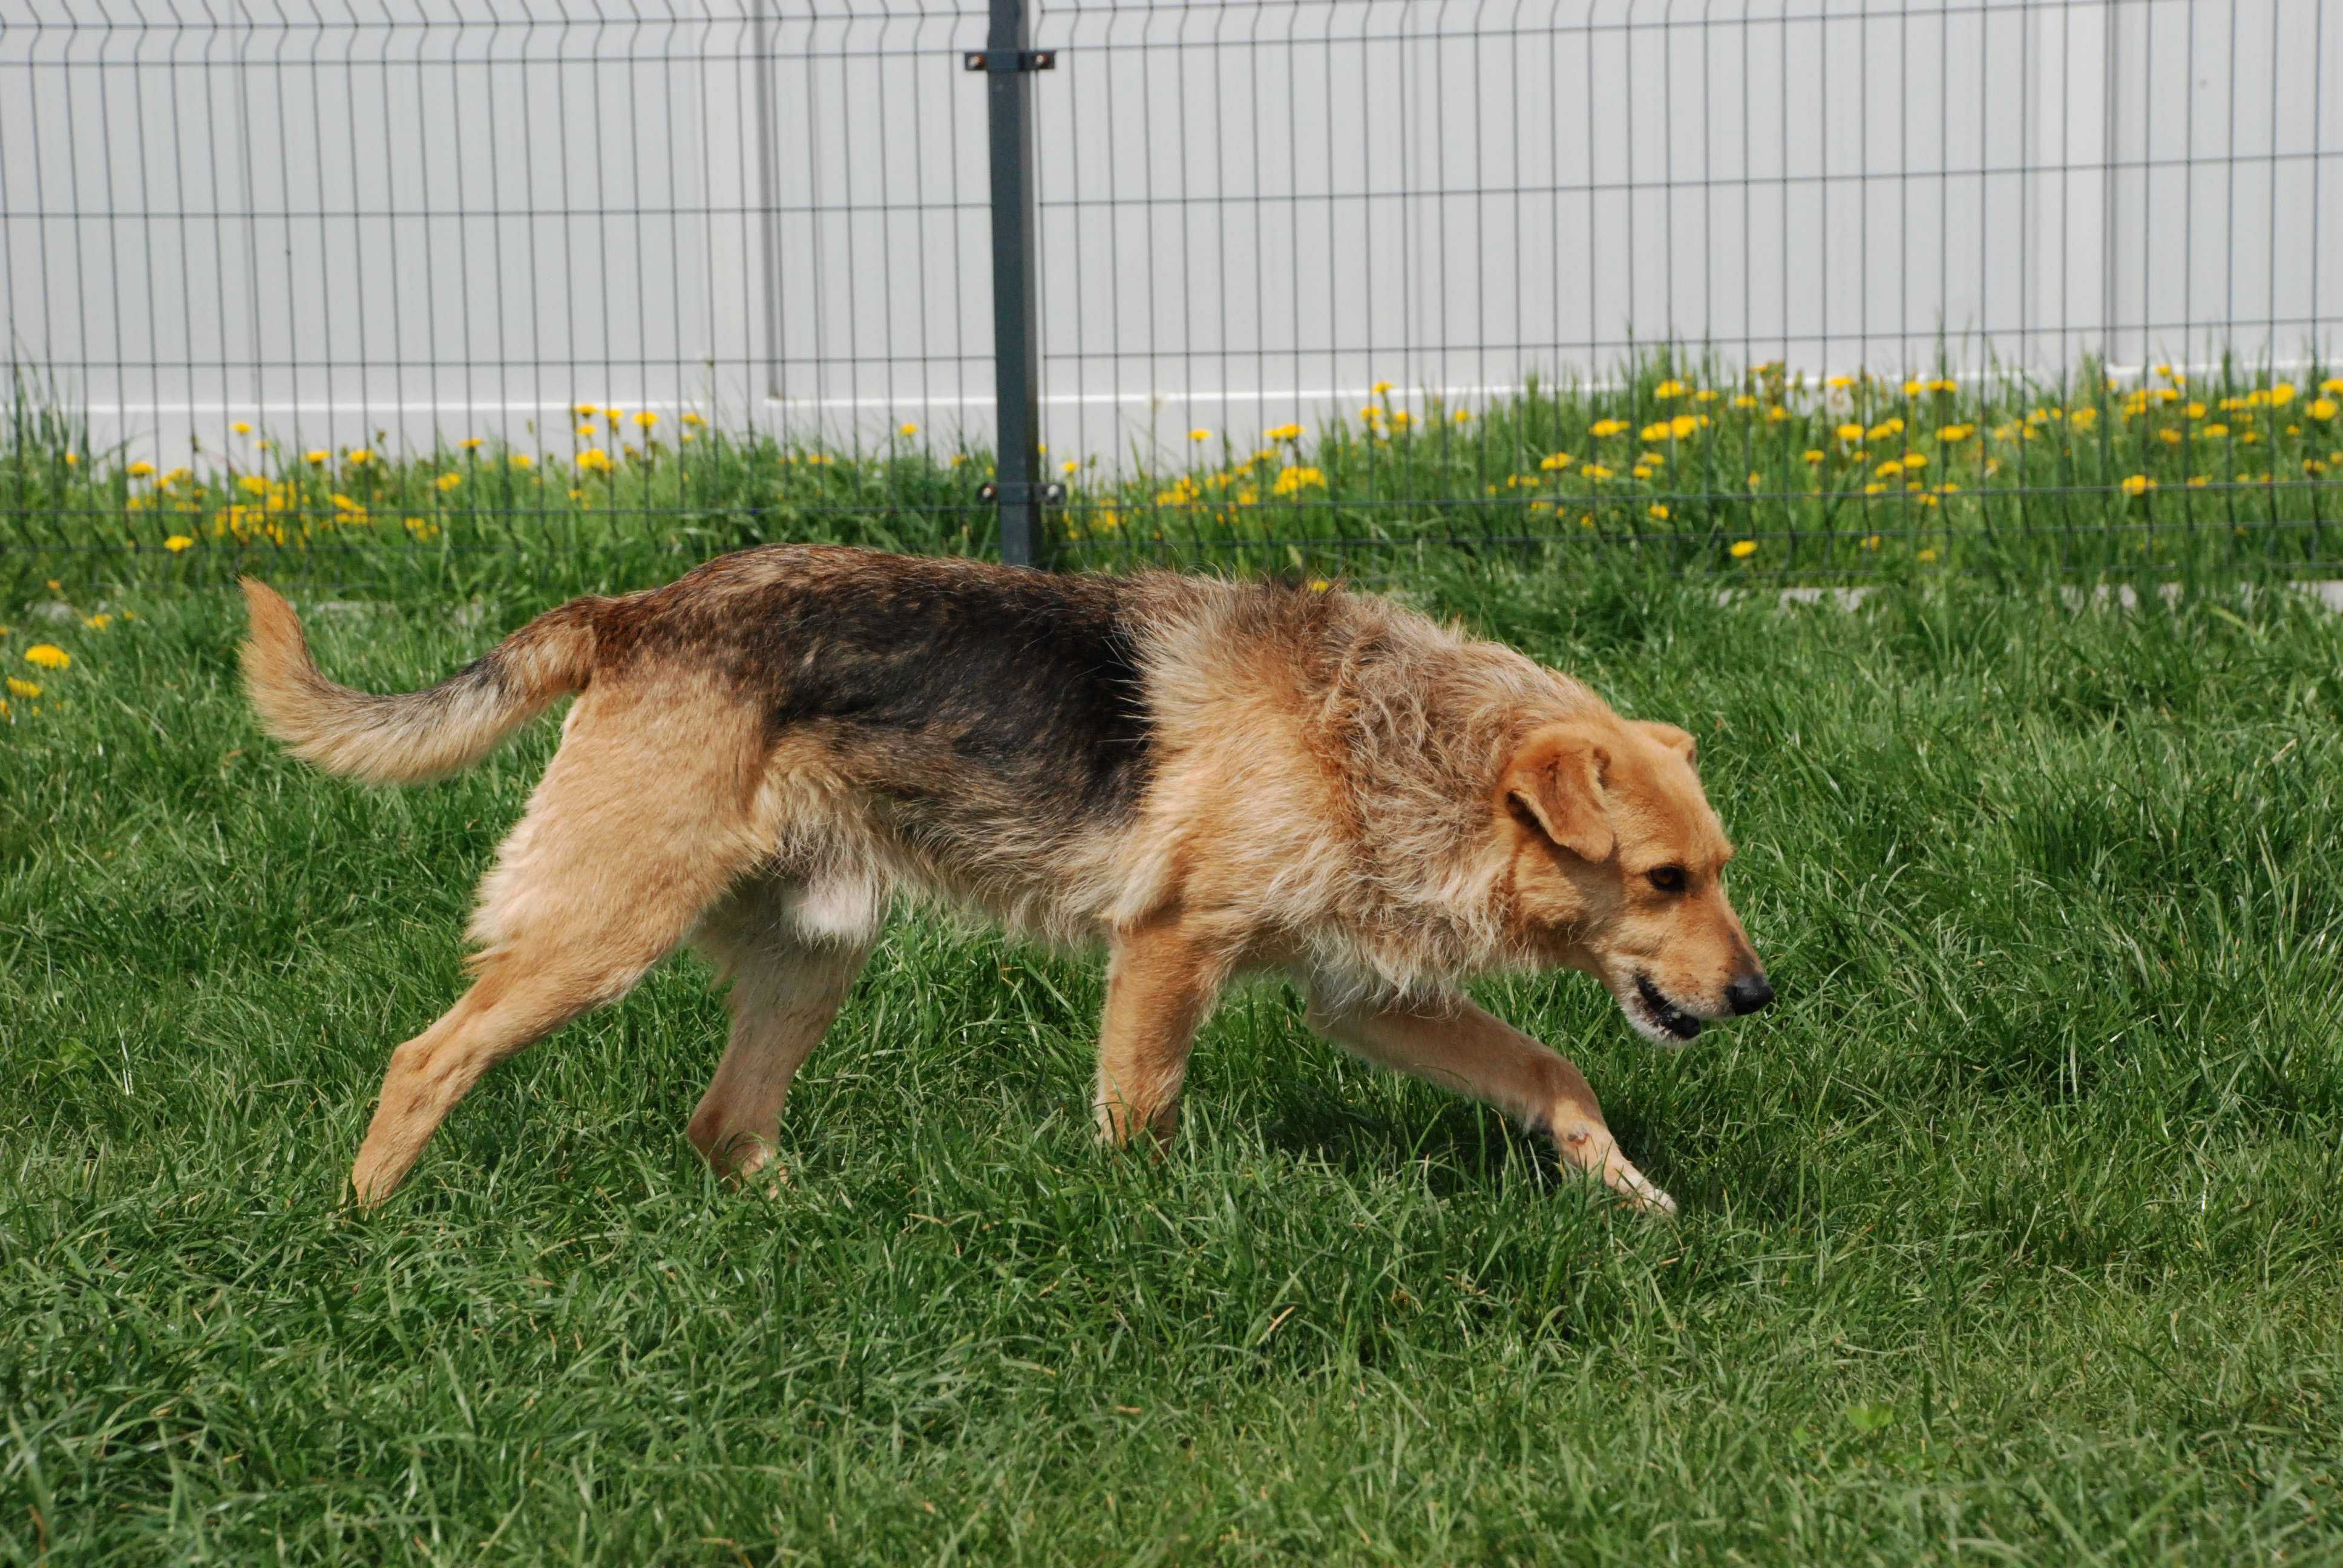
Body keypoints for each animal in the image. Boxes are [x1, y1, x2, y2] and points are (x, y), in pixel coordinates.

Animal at [242, 543, 1771, 1218]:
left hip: (815, 953)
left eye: (1715, 872)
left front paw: (1628, 1198)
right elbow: (1140, 1120)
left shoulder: (1361, 996)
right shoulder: (1170, 949)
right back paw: (363, 1227)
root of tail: (635, 611)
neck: (1382, 735)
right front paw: (1143, 1242)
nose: (1760, 996)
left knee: (722, 1123)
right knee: (429, 1055)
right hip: (603, 929)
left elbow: (1553, 1076)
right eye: (1660, 878)